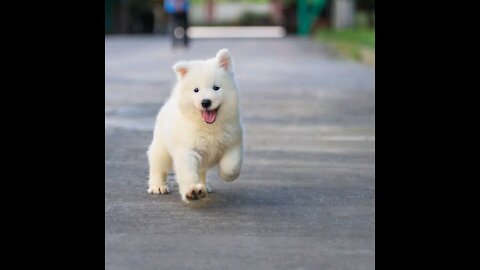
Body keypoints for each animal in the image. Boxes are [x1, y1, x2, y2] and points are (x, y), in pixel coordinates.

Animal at [146, 48, 244, 201]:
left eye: (216, 88)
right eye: (196, 90)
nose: (205, 102)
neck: (208, 126)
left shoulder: (233, 141)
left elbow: (232, 164)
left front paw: (225, 175)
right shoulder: (187, 149)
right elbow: (188, 172)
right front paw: (192, 191)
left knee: (202, 171)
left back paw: (204, 186)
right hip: (162, 147)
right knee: (158, 165)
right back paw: (158, 186)